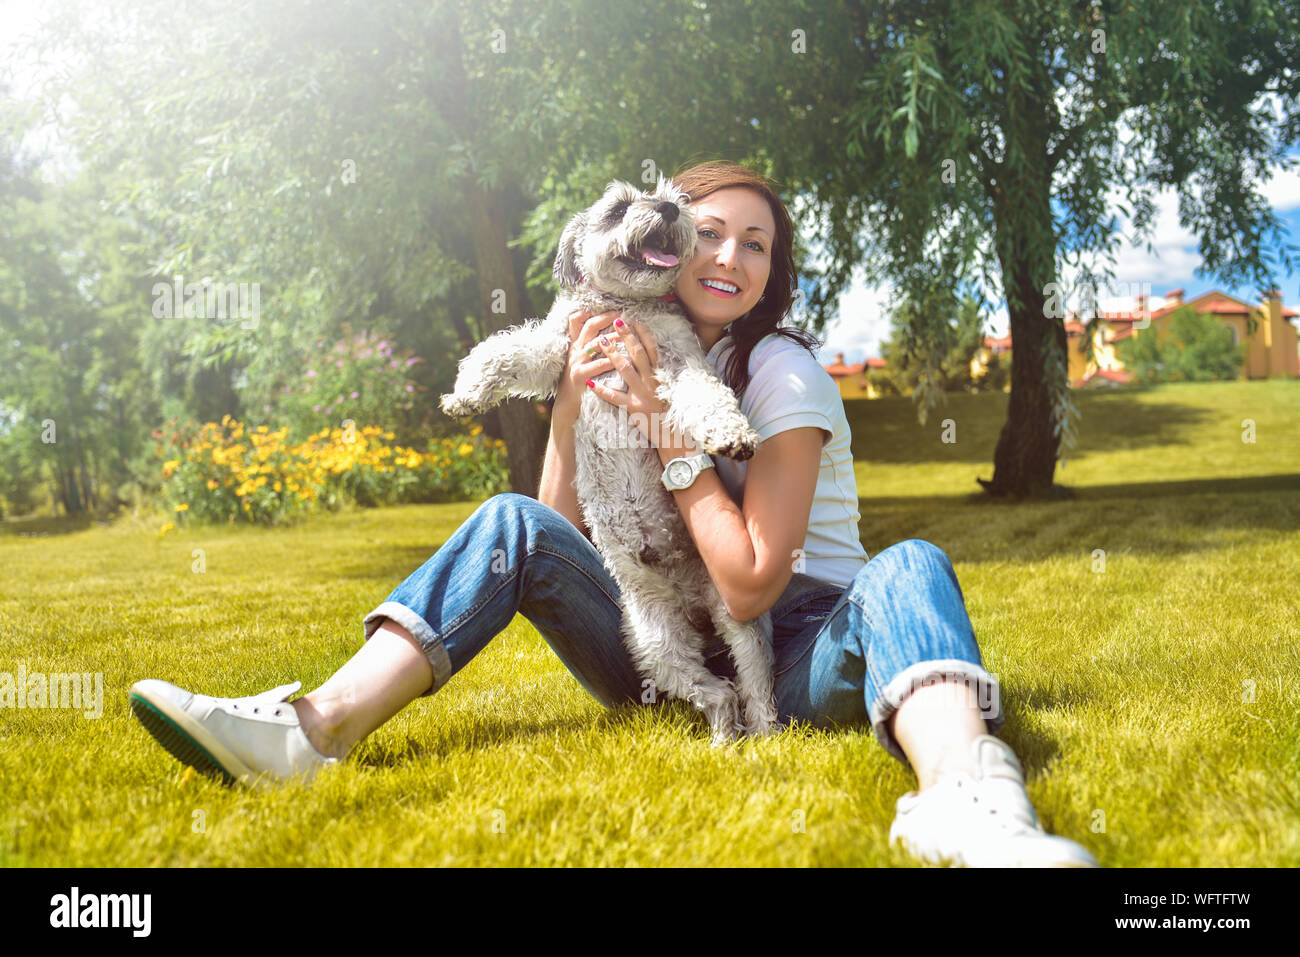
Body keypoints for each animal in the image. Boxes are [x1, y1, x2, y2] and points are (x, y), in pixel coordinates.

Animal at [441, 175, 774, 743]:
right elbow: (502, 351)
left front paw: (731, 434)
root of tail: (688, 600)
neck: (626, 308)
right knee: (717, 691)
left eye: (674, 199)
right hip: (656, 640)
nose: (668, 209)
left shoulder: (680, 361)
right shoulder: (557, 350)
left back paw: (760, 734)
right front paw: (464, 396)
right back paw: (725, 739)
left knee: (750, 683)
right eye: (619, 208)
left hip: (734, 618)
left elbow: (703, 395)